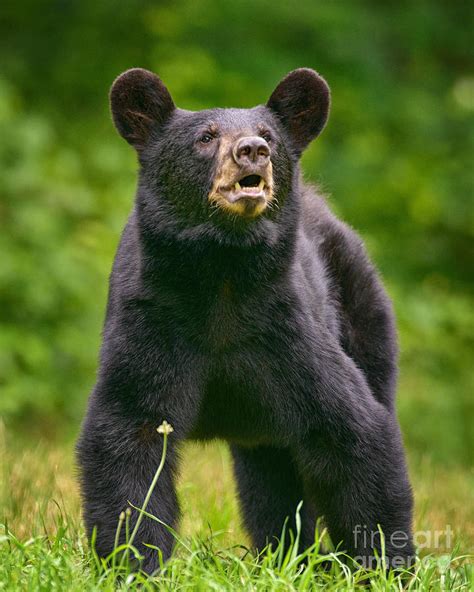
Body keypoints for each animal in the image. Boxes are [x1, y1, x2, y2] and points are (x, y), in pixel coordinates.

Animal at [76, 66, 412, 572]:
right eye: (206, 137)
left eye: (269, 135)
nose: (253, 149)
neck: (224, 275)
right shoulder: (151, 322)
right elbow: (128, 434)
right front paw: (134, 563)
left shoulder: (288, 330)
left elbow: (355, 431)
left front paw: (387, 566)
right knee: (269, 480)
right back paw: (283, 553)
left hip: (361, 317)